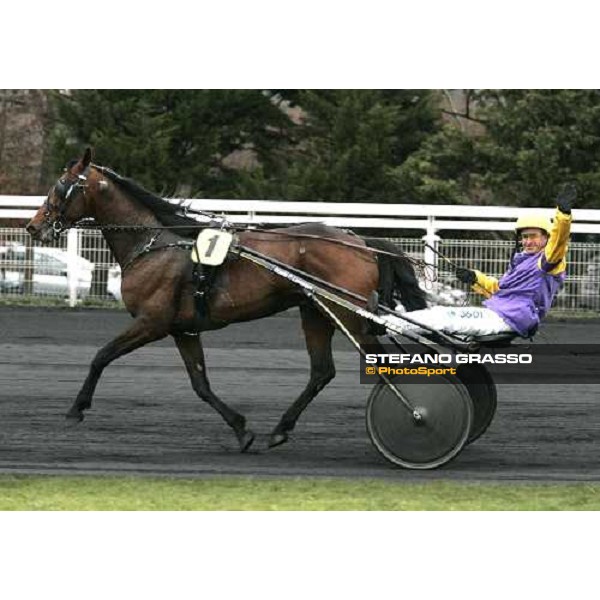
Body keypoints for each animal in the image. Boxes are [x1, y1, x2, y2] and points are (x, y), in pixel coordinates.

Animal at [24, 149, 426, 450]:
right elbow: (200, 384)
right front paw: (241, 429)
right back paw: (281, 429)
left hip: (348, 315)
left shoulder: (152, 322)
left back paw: (414, 417)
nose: (33, 226)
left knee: (385, 366)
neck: (154, 244)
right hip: (316, 312)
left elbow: (101, 355)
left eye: (61, 186)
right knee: (322, 371)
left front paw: (76, 409)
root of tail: (361, 242)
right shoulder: (183, 330)